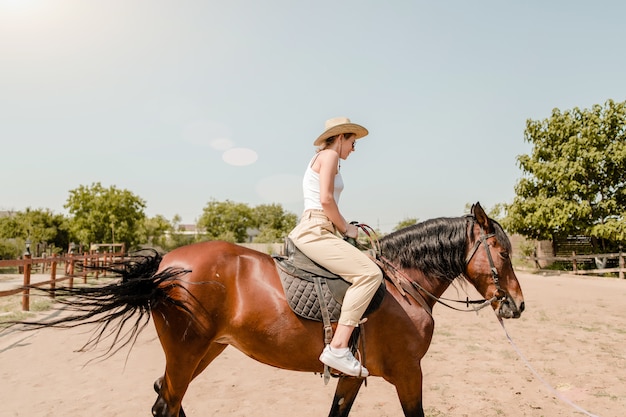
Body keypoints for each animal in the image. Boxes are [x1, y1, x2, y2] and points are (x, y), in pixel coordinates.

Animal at [13, 201, 520, 412]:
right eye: (503, 251)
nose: (516, 304)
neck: (401, 285)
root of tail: (169, 262)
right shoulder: (409, 373)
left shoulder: (354, 377)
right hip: (186, 350)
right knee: (168, 401)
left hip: (206, 350)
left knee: (165, 397)